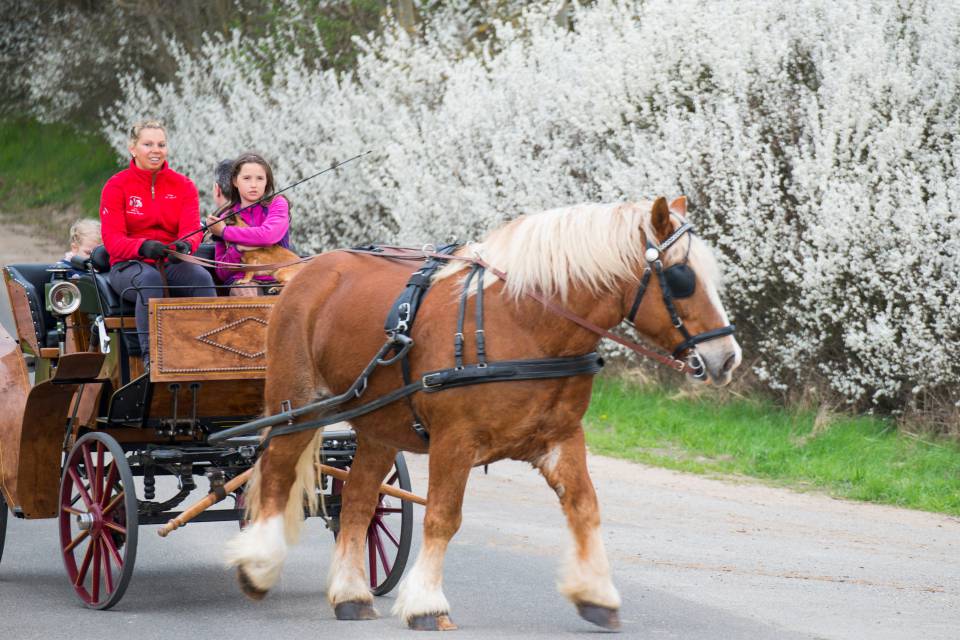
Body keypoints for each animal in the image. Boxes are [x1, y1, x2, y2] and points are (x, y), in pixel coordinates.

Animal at [224, 196, 742, 631]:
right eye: (682, 278)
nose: (727, 358)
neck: (526, 324)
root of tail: (309, 272)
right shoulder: (455, 442)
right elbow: (442, 518)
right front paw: (426, 604)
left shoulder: (559, 438)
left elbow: (585, 508)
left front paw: (596, 594)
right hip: (296, 406)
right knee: (276, 474)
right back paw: (258, 567)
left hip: (378, 426)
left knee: (358, 502)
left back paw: (351, 595)